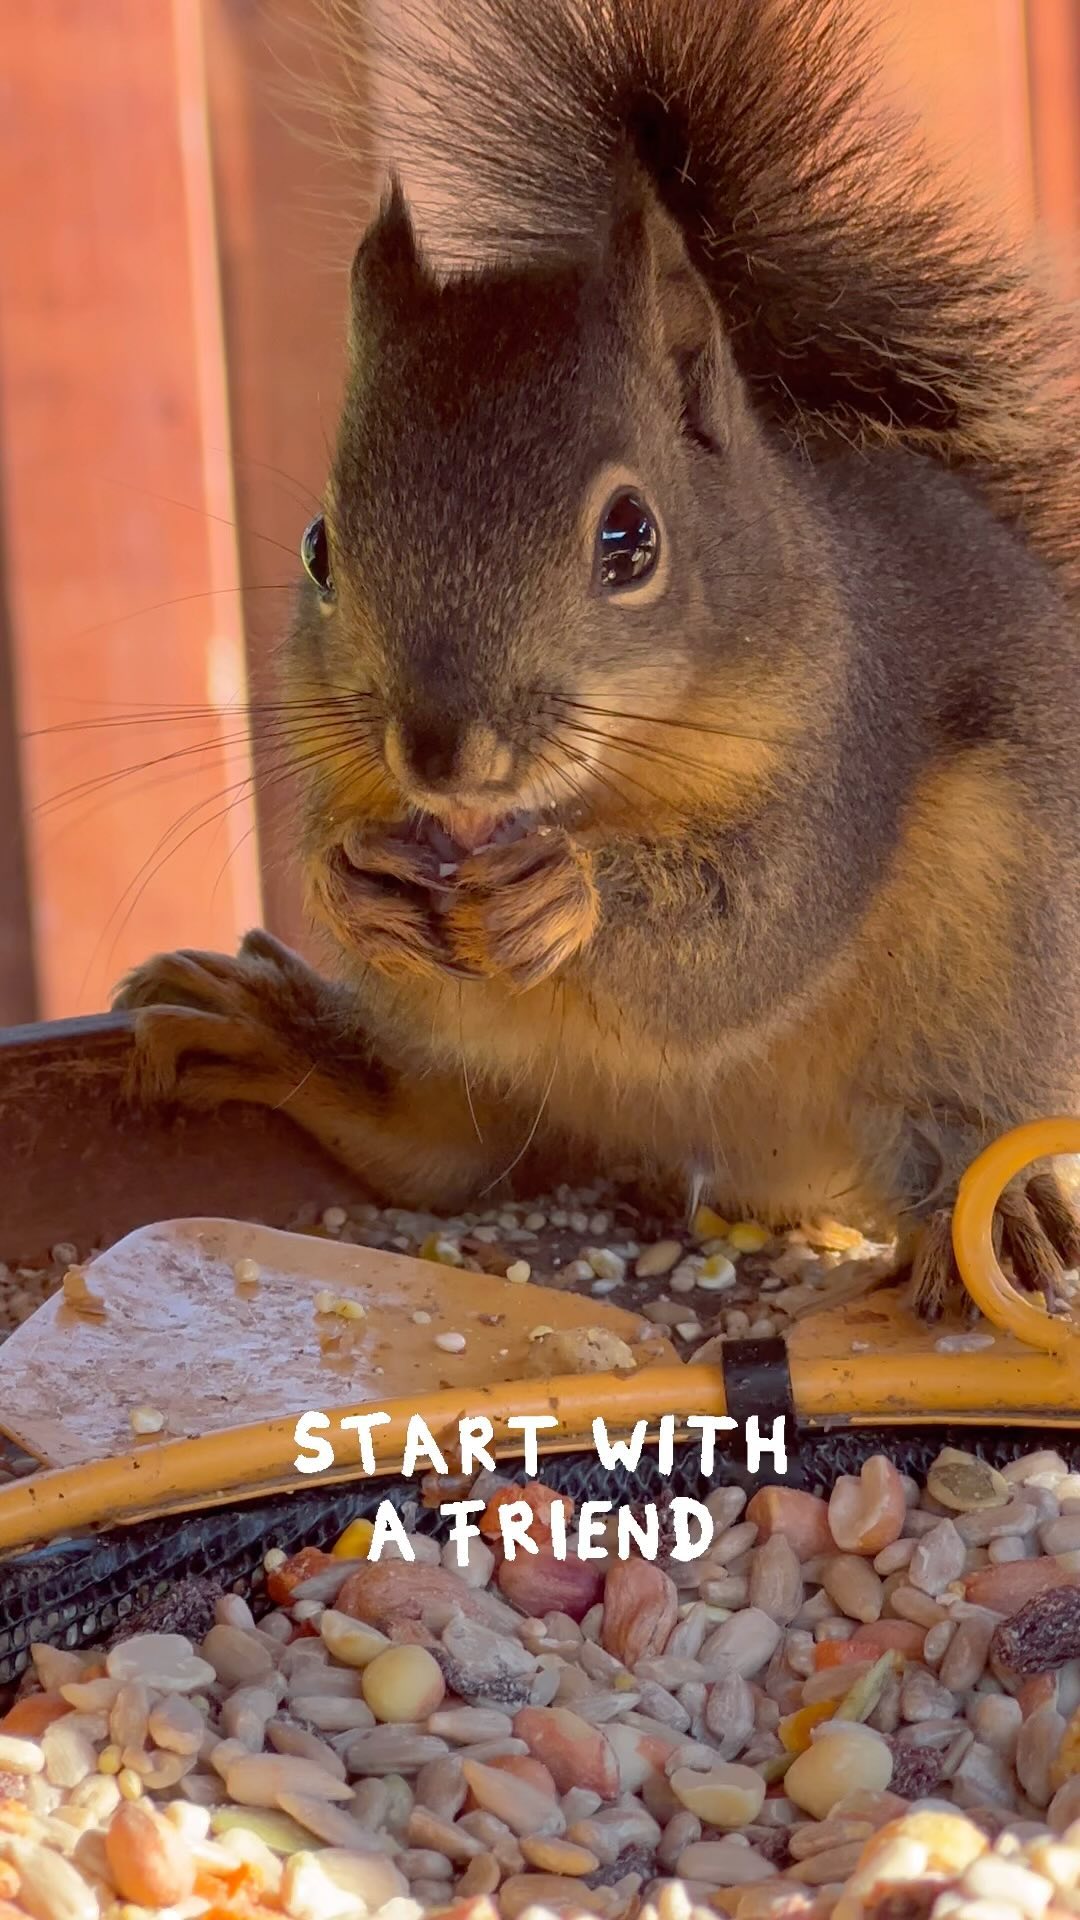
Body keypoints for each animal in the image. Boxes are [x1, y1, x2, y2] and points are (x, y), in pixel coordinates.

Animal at [115, 0, 1080, 1318]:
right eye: (318, 547)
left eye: (631, 539)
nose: (441, 757)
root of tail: (754, 1170)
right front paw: (349, 878)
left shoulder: (849, 754)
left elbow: (755, 928)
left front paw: (570, 893)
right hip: (486, 1070)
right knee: (438, 1142)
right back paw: (274, 1035)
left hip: (988, 974)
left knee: (948, 1134)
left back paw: (993, 1221)